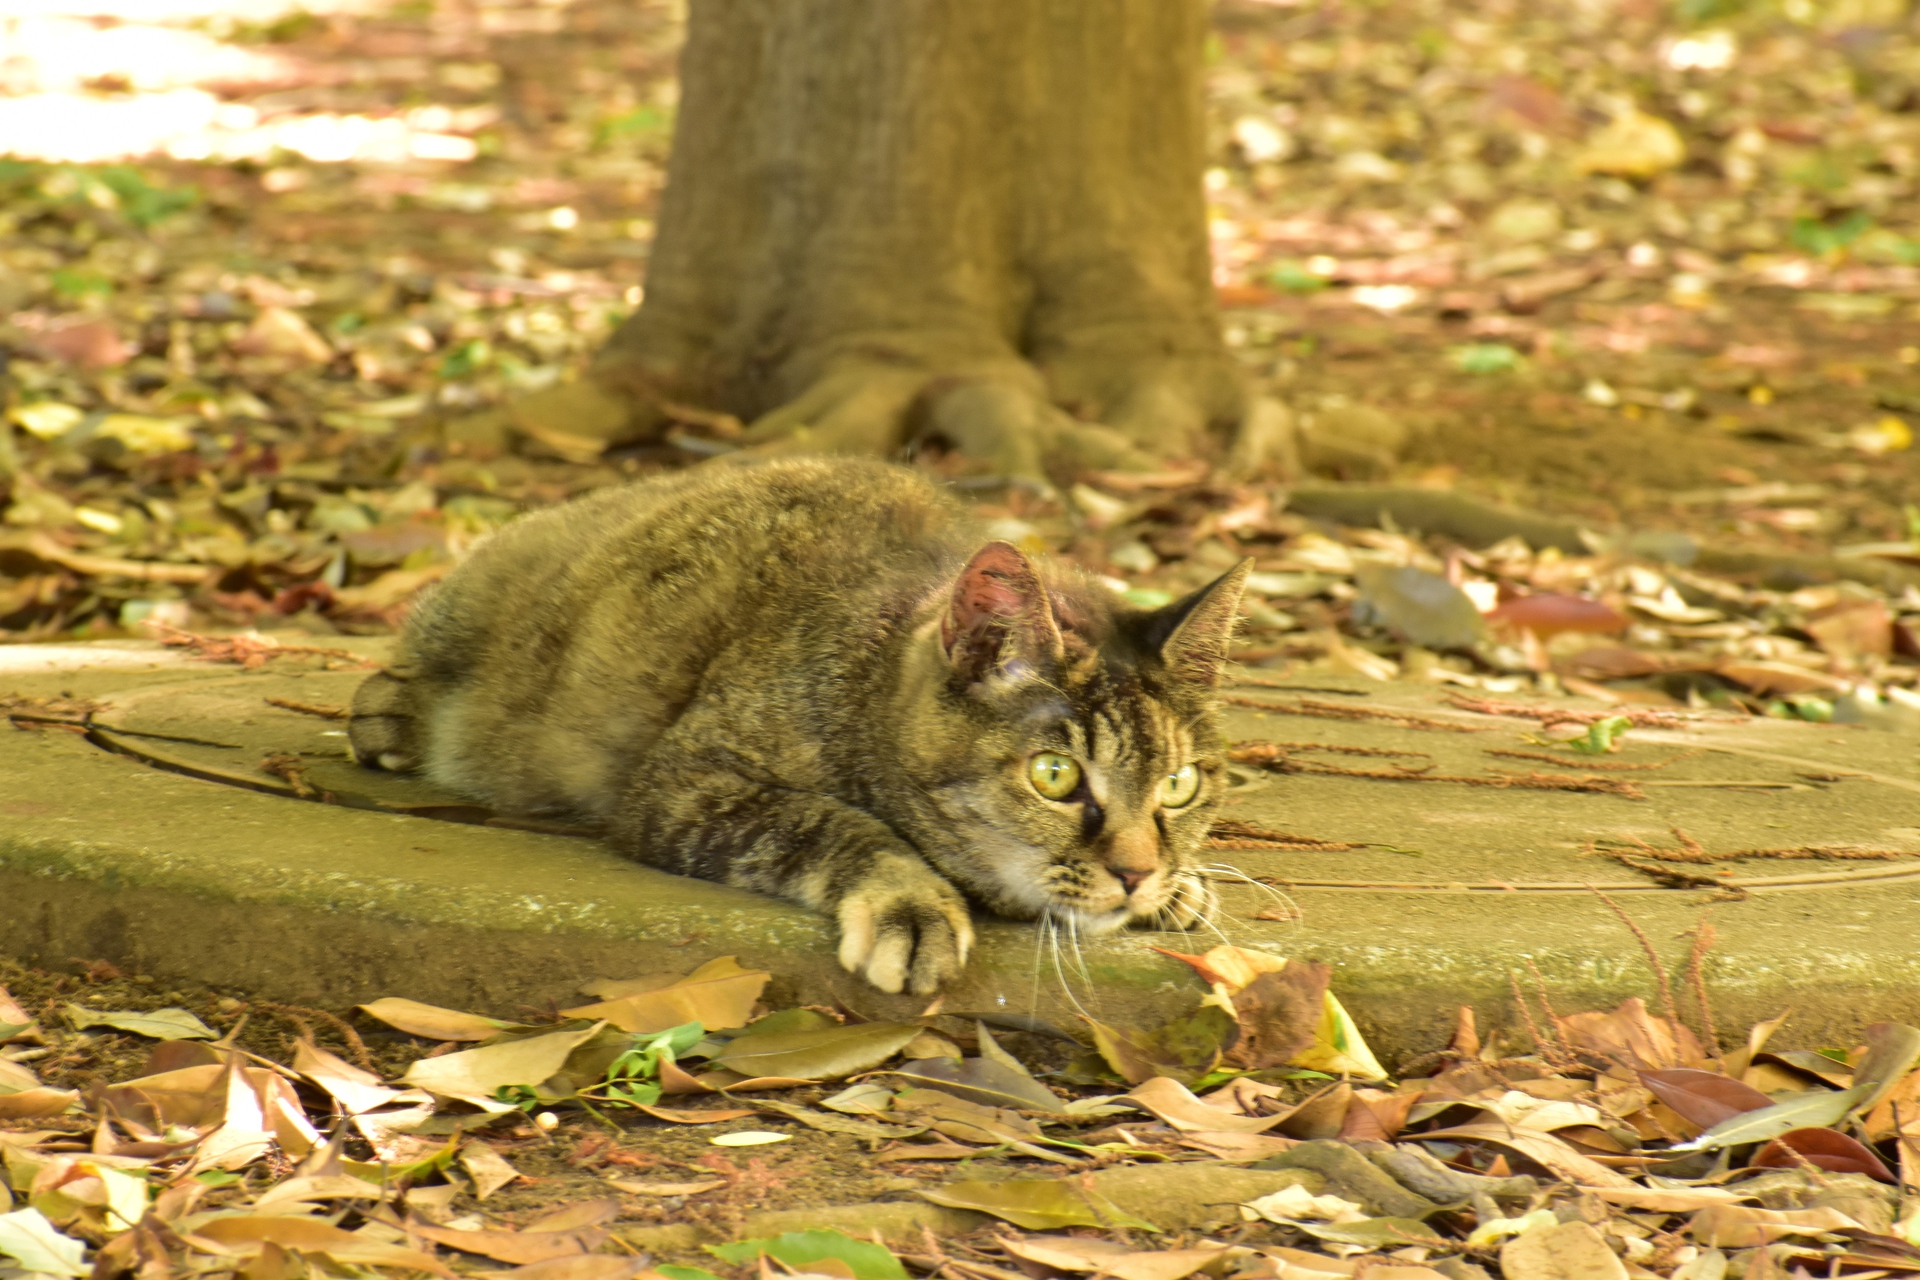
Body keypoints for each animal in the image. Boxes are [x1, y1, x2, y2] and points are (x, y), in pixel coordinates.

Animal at [351, 454, 1251, 997]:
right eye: (1055, 776)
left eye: (1179, 784)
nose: (1137, 873)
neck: (869, 678)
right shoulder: (684, 782)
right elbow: (832, 821)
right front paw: (911, 904)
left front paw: (1184, 883)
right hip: (477, 606)